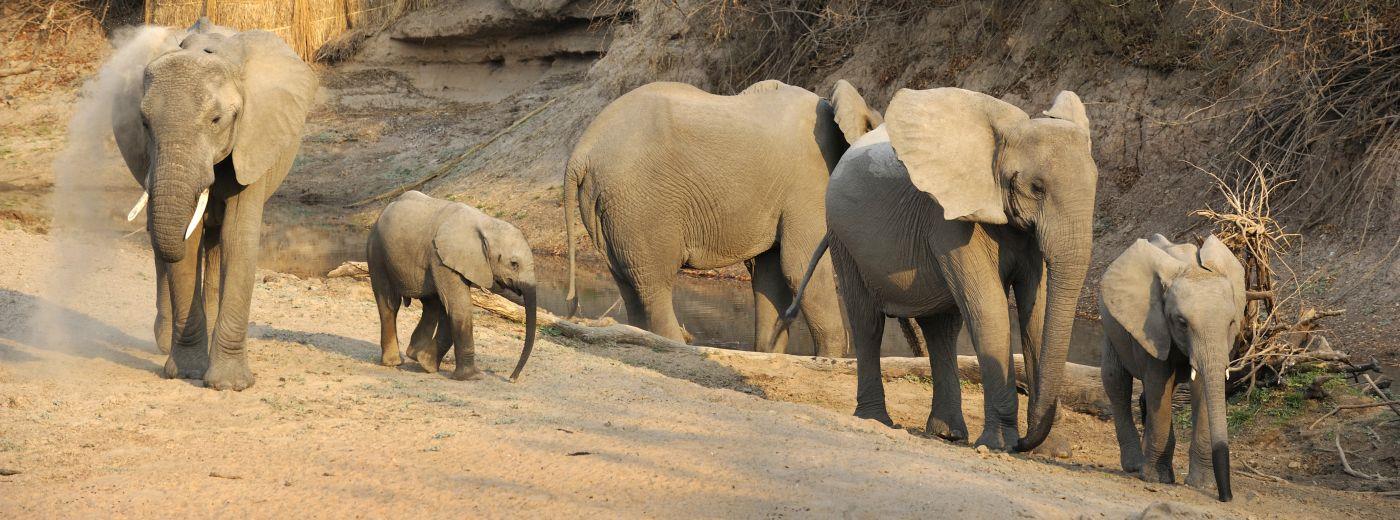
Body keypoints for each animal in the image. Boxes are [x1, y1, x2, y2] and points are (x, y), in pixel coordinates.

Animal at [111, 19, 317, 392]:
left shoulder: (254, 137)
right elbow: (187, 243)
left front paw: (229, 384)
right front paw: (188, 372)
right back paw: (165, 342)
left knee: (216, 242)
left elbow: (237, 239)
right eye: (144, 123)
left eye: (217, 120)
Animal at [366, 192, 534, 384]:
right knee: (390, 303)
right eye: (514, 264)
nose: (512, 379)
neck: (487, 223)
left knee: (431, 305)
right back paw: (394, 362)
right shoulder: (442, 259)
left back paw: (414, 355)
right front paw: (473, 377)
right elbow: (459, 306)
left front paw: (427, 364)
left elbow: (450, 307)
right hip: (376, 252)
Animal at [562, 79, 879, 358]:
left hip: (609, 207)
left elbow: (770, 272)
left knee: (626, 282)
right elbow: (798, 265)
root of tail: (580, 152)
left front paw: (768, 352)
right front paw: (831, 358)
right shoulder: (807, 182)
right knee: (654, 283)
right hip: (640, 203)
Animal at [778, 87, 1092, 454]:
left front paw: (1052, 450)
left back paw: (946, 434)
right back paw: (876, 420)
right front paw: (1000, 444)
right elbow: (990, 311)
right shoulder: (950, 222)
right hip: (843, 236)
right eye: (1036, 188)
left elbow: (1036, 313)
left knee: (941, 328)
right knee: (868, 322)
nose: (1025, 442)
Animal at [1097, 232, 1243, 501]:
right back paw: (1135, 465)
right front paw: (1157, 479)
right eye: (1181, 322)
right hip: (1112, 326)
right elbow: (1158, 387)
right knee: (1115, 381)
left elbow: (1202, 387)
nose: (1226, 497)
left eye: (1231, 323)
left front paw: (1202, 485)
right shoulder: (1152, 326)